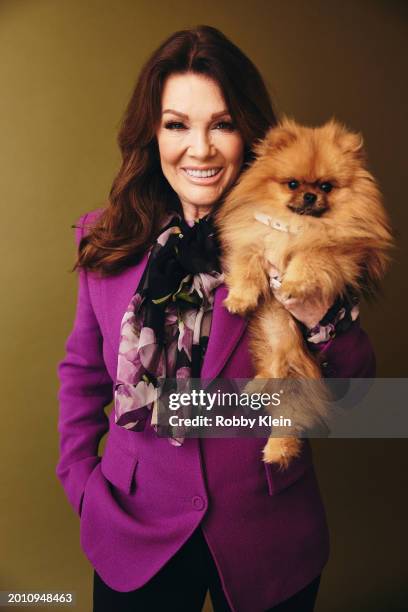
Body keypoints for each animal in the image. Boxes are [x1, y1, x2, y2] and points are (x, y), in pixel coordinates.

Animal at [215, 117, 394, 466]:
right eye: (293, 184)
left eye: (325, 187)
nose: (310, 196)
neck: (295, 225)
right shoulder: (252, 241)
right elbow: (246, 268)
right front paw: (240, 300)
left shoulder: (335, 253)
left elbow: (310, 257)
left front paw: (292, 284)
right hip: (274, 341)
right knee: (272, 375)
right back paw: (257, 391)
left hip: (295, 371)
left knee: (290, 416)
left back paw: (277, 450)